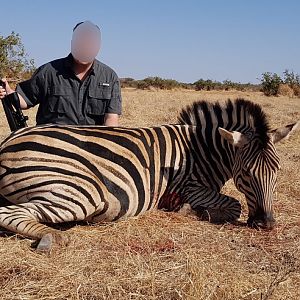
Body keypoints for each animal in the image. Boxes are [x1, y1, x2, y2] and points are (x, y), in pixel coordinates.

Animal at [0, 99, 296, 251]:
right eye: (246, 173)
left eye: (278, 171)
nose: (267, 224)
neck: (202, 149)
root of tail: (8, 141)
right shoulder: (191, 187)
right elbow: (234, 205)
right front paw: (192, 211)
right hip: (82, 191)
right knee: (10, 213)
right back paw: (53, 238)